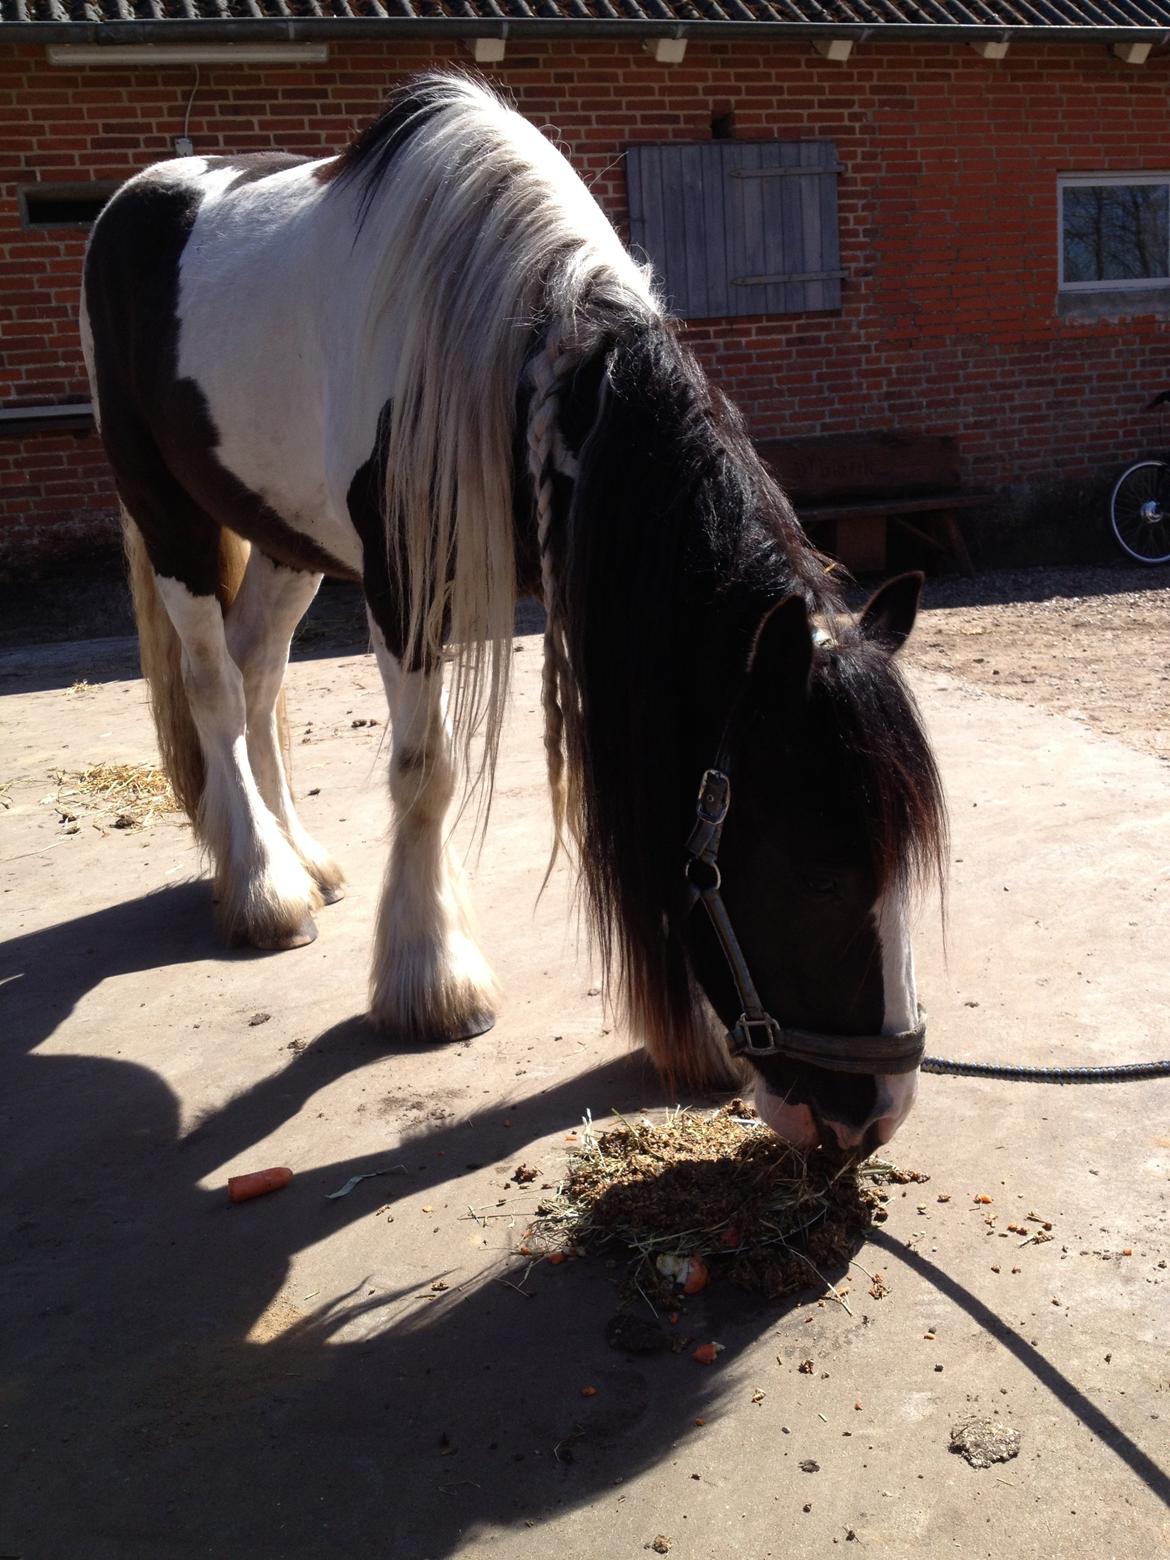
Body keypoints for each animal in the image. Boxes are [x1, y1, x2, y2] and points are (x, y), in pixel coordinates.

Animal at [80, 70, 942, 1160]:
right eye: (820, 872)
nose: (871, 1117)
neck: (522, 351)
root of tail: (137, 196)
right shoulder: (404, 592)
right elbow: (425, 774)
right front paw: (429, 985)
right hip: (171, 517)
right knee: (213, 686)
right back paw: (263, 888)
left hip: (285, 540)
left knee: (259, 668)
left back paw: (297, 861)